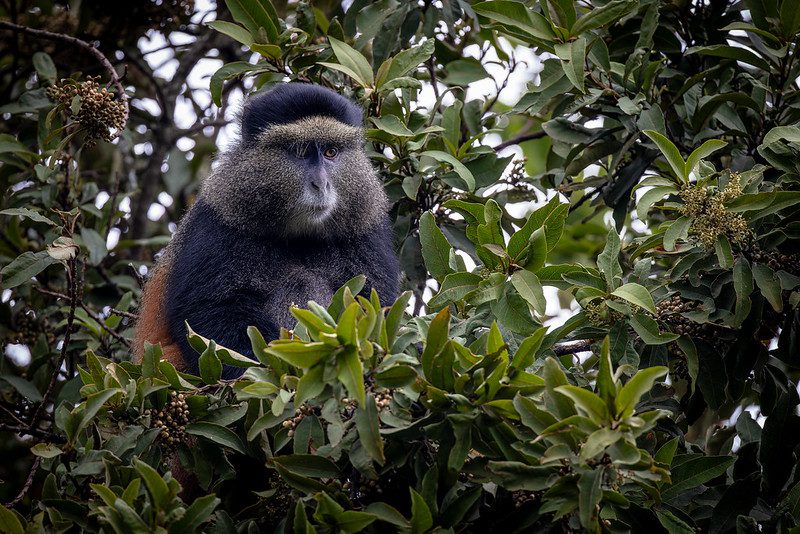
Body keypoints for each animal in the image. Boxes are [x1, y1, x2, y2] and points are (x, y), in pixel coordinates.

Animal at [133, 83, 400, 378]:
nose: (321, 184)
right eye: (300, 151)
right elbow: (207, 311)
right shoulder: (218, 220)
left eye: (331, 152)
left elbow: (377, 304)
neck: (299, 235)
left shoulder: (367, 226)